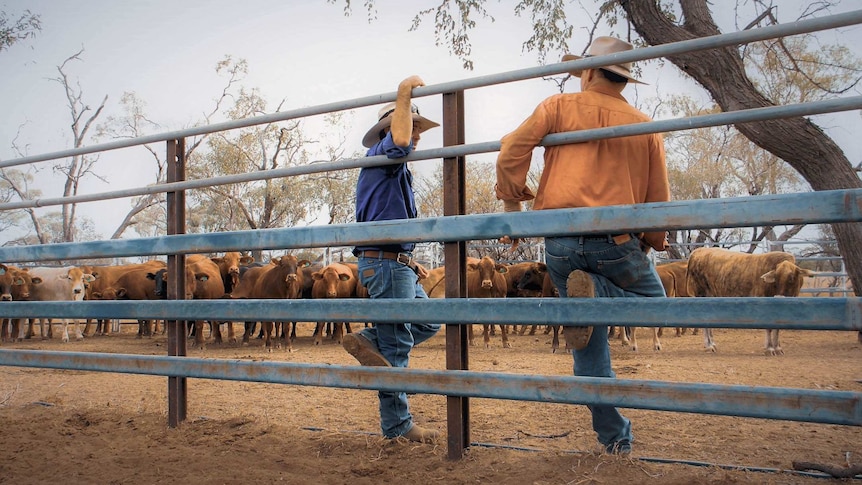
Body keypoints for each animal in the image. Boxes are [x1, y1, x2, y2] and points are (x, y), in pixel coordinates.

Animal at [688, 248, 816, 354]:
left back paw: (712, 344)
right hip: (702, 296)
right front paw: (770, 348)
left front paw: (778, 347)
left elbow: (777, 328)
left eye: (791, 277)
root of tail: (696, 252)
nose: (779, 297)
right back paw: (709, 345)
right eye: (776, 277)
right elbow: (769, 328)